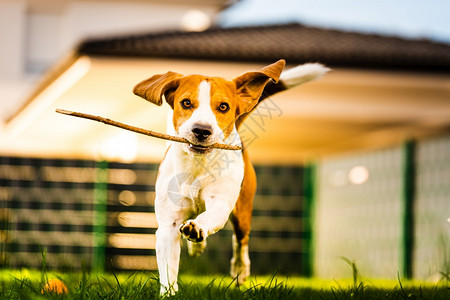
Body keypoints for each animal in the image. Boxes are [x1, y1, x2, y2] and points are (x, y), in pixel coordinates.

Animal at [133, 59, 326, 294]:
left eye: (223, 107)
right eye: (186, 103)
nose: (201, 130)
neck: (198, 164)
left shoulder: (221, 203)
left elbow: (211, 217)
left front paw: (198, 229)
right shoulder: (169, 224)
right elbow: (168, 268)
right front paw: (168, 293)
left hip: (243, 210)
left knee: (241, 241)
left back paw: (240, 270)